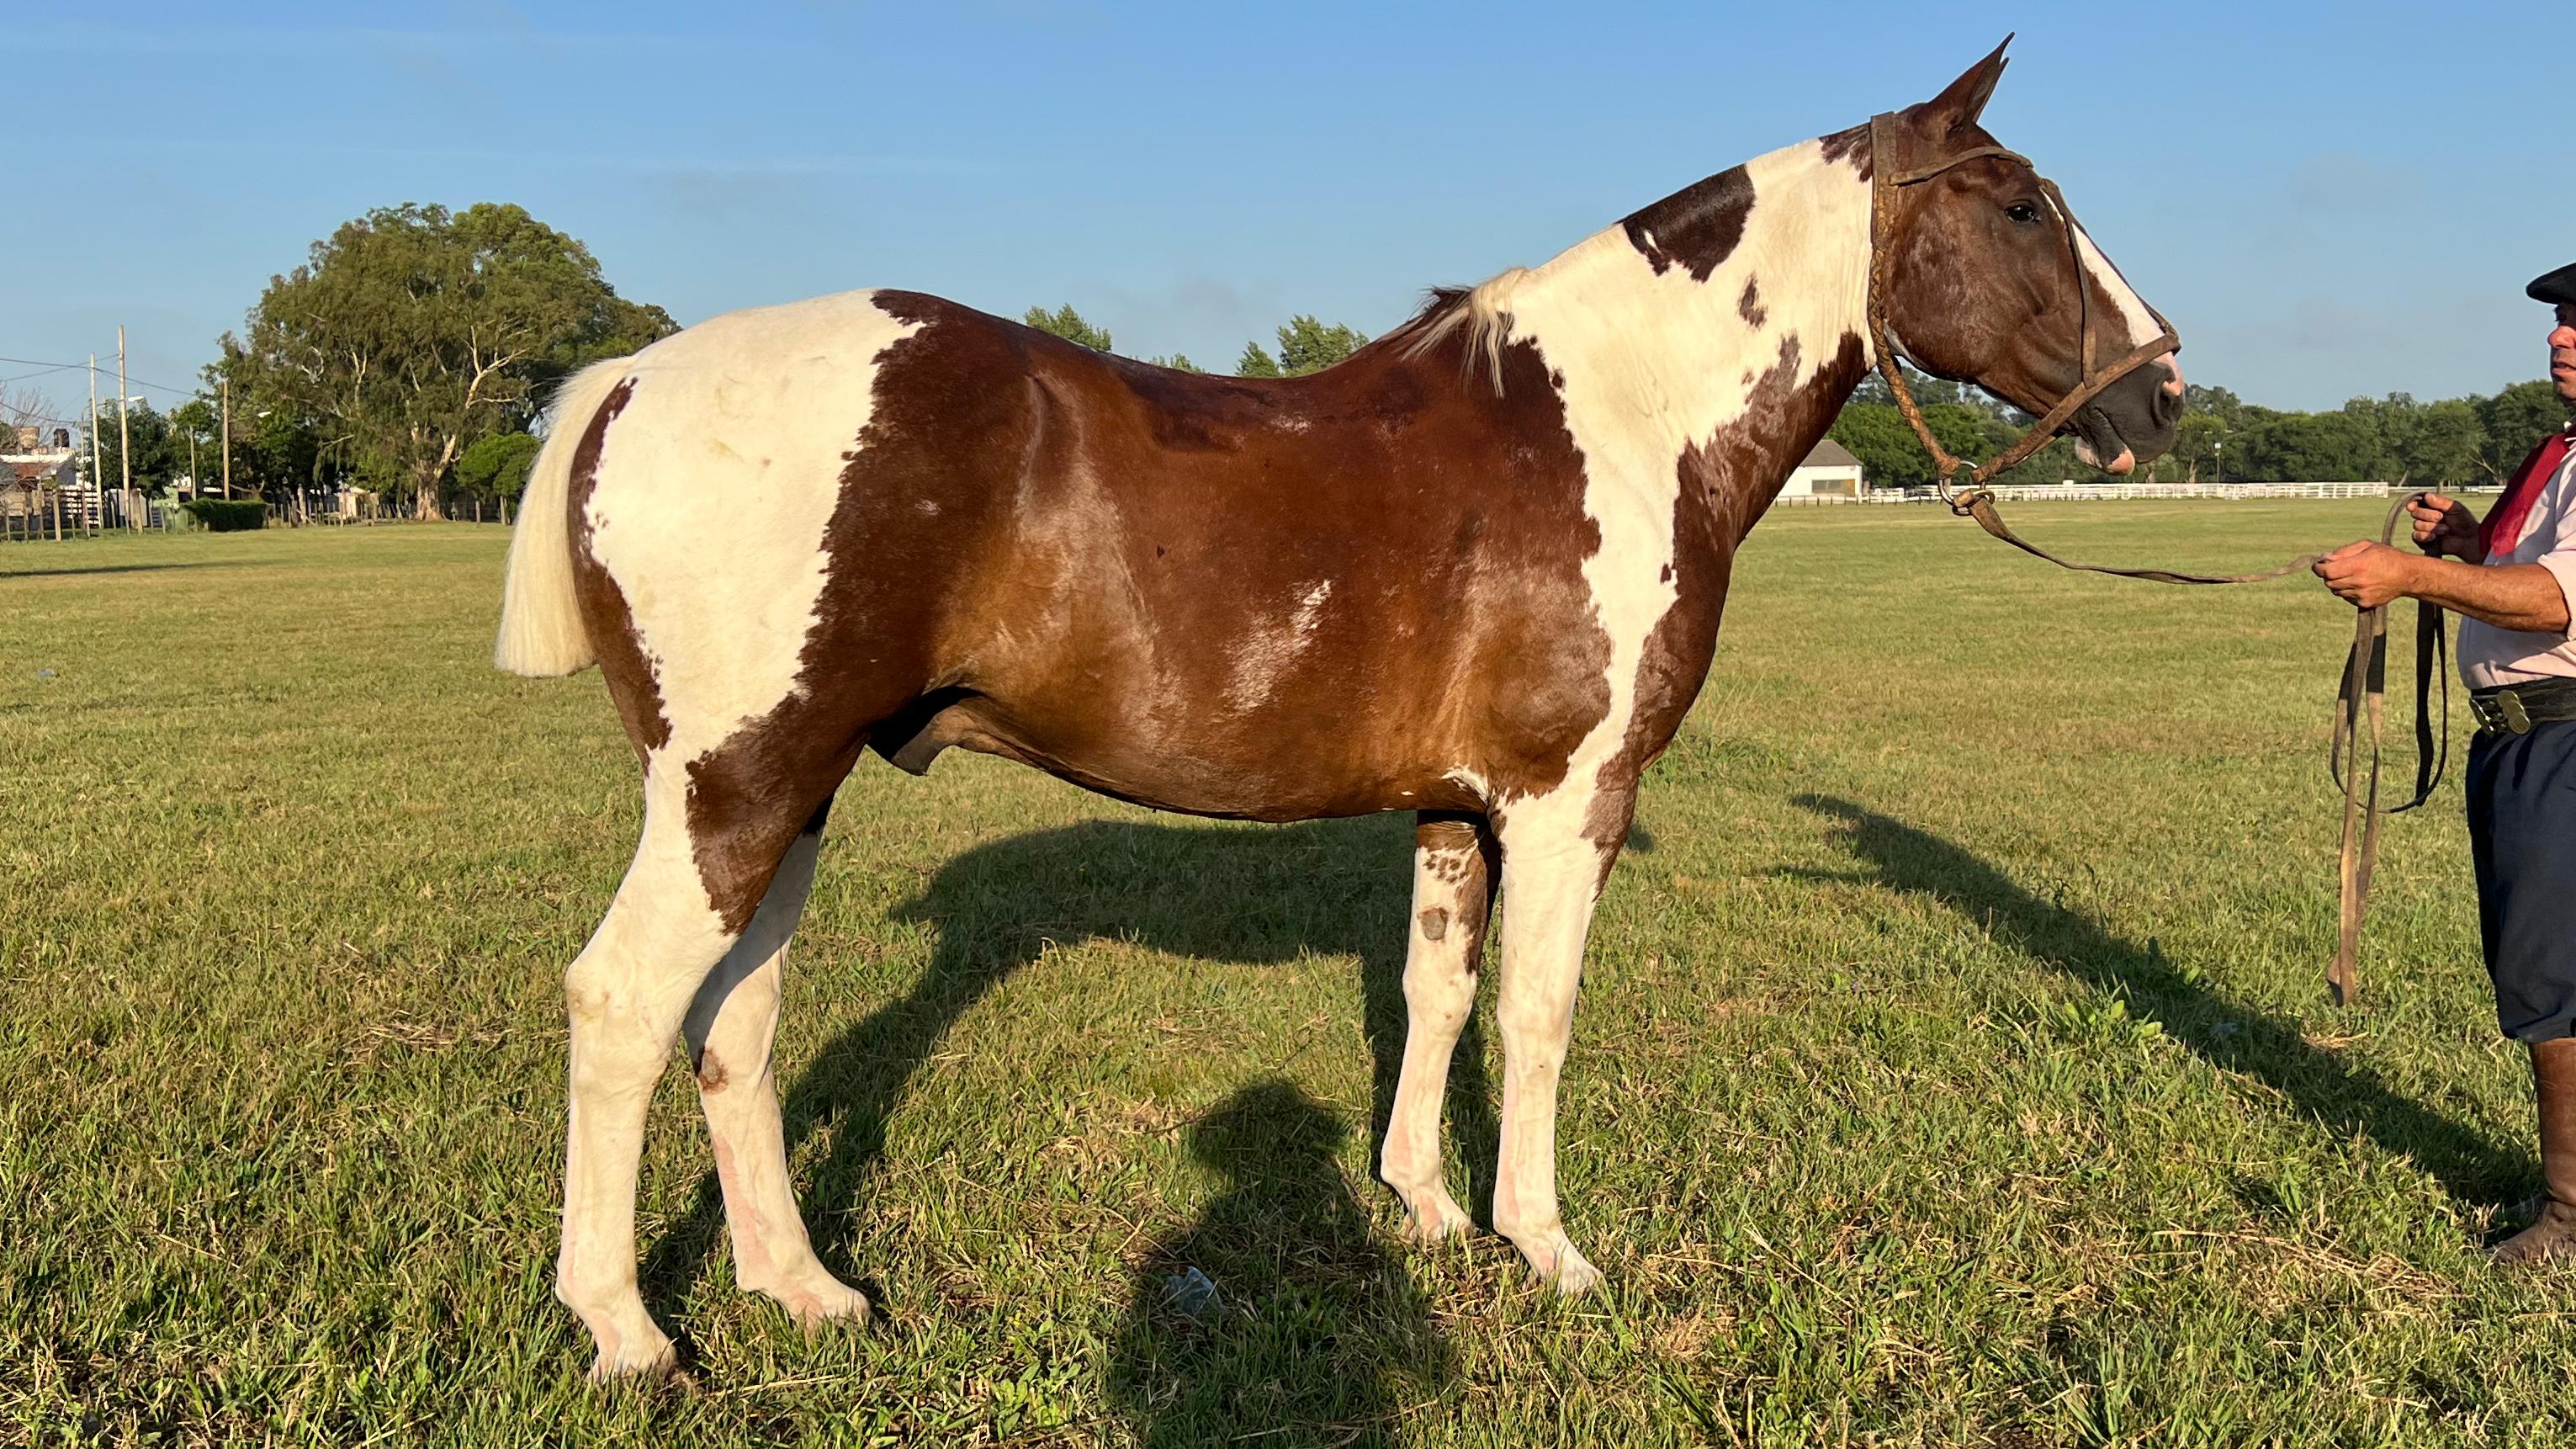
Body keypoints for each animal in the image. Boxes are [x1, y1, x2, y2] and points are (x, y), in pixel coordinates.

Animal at [495, 40, 2185, 1377]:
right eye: (2019, 204)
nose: (2160, 393)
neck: (1608, 425)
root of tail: (632, 378)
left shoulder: (1454, 804)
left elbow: (1437, 993)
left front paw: (1424, 1207)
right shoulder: (1570, 799)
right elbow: (1537, 1010)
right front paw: (1546, 1246)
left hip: (790, 792)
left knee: (735, 1024)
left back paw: (804, 1290)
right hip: (739, 785)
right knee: (622, 1005)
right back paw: (627, 1331)